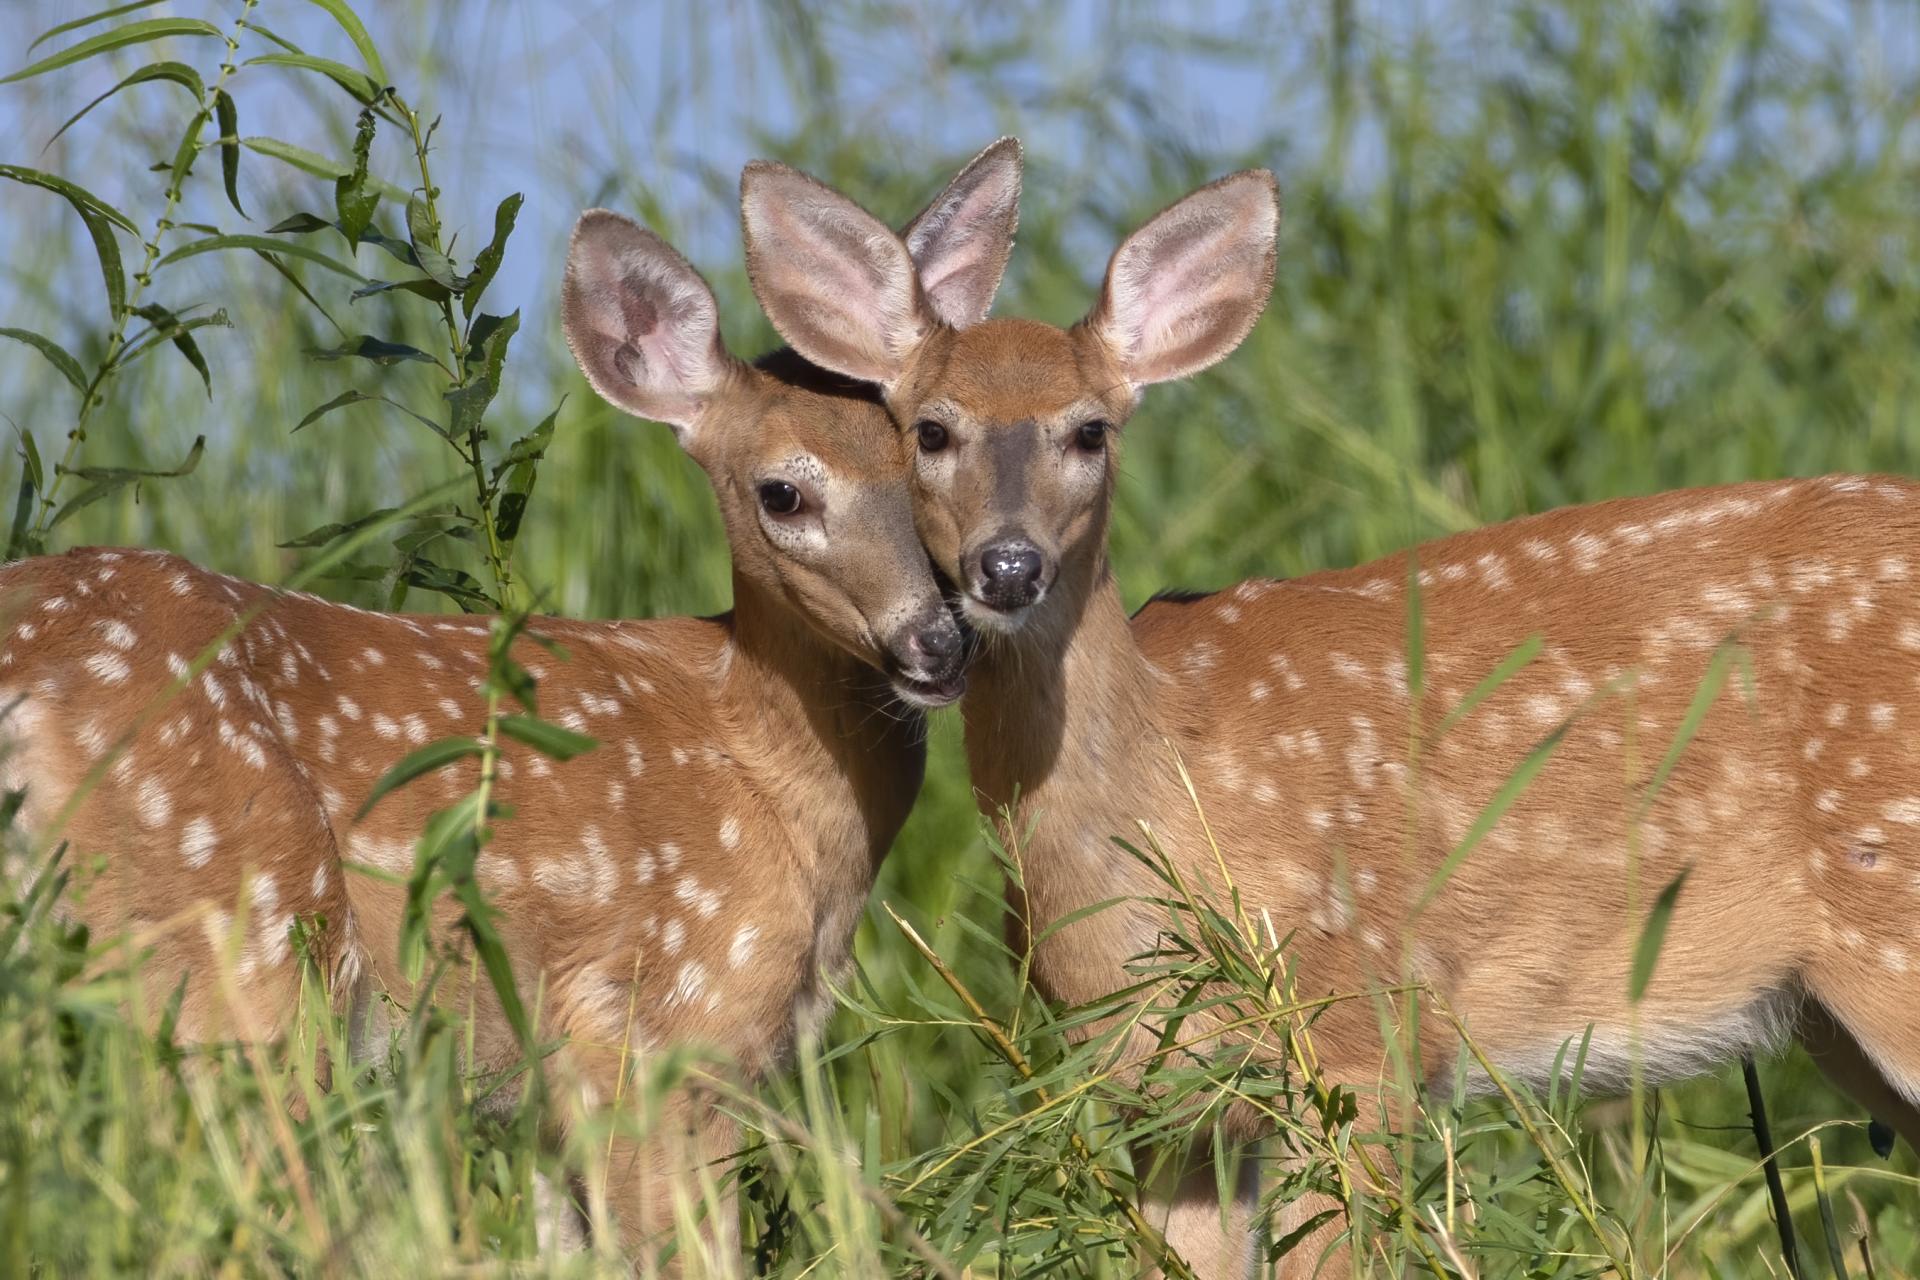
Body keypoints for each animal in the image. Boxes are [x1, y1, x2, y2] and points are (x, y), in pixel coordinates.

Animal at [0, 139, 1023, 1268]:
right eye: (783, 493)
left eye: (933, 451)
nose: (937, 640)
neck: (773, 780)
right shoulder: (653, 1024)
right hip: (238, 936)